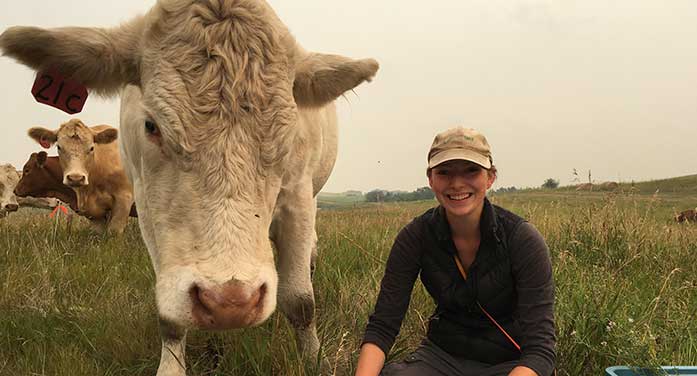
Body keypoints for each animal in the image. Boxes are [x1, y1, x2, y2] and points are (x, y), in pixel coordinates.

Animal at [0, 0, 378, 374]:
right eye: (151, 125)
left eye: (287, 131)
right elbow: (171, 313)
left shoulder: (298, 200)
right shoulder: (147, 209)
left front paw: (313, 358)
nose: (231, 302)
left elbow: (300, 300)